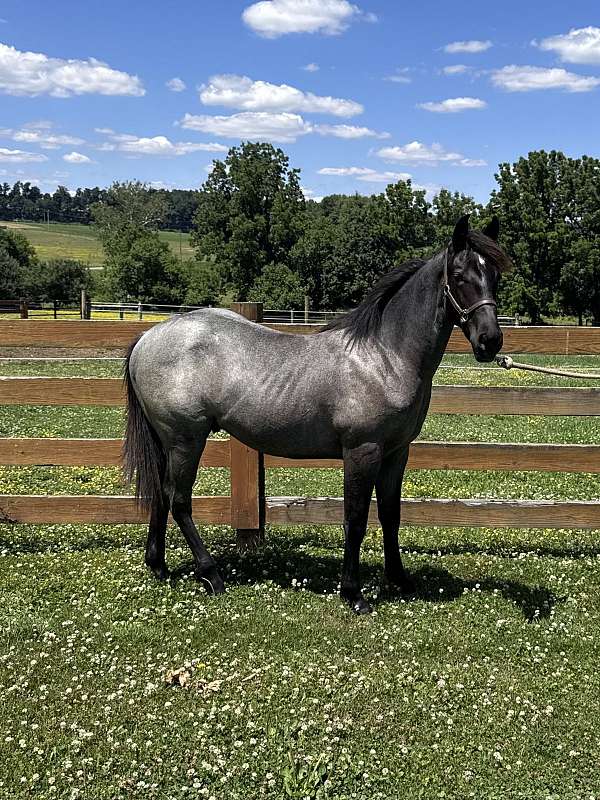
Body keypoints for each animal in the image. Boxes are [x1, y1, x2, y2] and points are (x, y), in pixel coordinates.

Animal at [123, 215, 512, 614]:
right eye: (460, 275)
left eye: (495, 274)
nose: (490, 341)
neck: (384, 356)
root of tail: (147, 338)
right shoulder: (362, 451)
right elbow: (355, 519)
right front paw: (353, 593)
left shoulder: (396, 453)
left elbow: (390, 515)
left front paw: (400, 579)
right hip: (186, 440)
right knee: (179, 501)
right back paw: (211, 575)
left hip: (168, 443)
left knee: (160, 494)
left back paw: (159, 566)